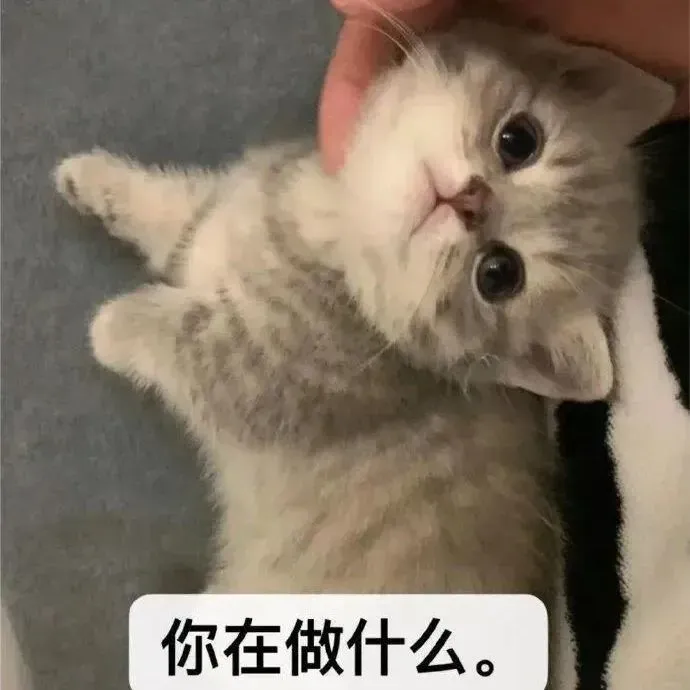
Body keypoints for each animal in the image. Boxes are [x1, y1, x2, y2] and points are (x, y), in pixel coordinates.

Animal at [52, 19, 673, 687]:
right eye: (518, 141)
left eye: (499, 274)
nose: (471, 201)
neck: (330, 227)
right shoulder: (225, 208)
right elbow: (180, 213)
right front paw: (96, 180)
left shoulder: (266, 376)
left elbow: (191, 341)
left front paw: (116, 323)